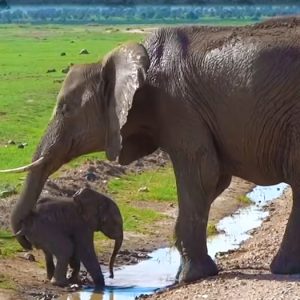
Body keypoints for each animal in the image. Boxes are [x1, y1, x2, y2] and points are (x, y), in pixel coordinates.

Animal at [4, 16, 300, 284]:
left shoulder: (178, 105)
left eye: (65, 109)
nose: (27, 241)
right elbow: (215, 181)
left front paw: (189, 278)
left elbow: (203, 172)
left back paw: (282, 269)